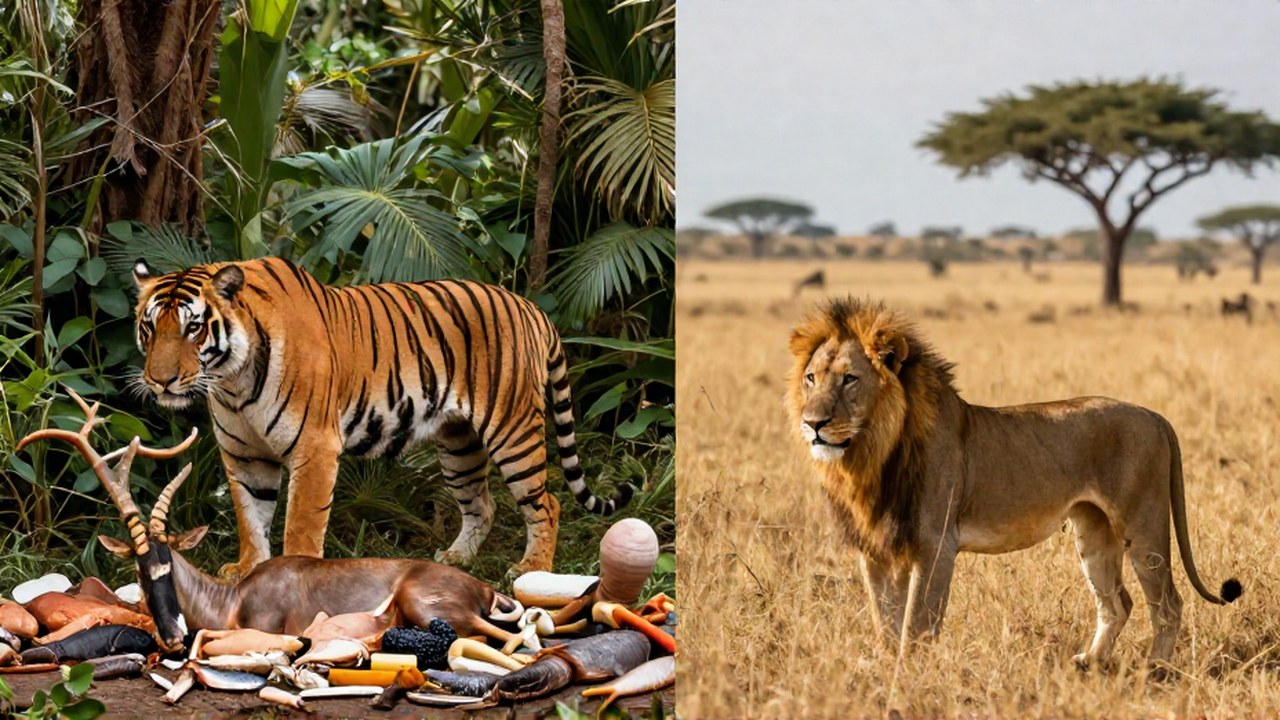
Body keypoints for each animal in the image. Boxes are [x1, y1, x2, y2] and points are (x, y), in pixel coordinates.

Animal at [130, 256, 632, 577]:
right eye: (150, 327)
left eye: (194, 328)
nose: (160, 381)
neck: (232, 380)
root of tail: (531, 307)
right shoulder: (245, 456)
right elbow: (251, 520)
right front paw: (248, 569)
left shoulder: (315, 447)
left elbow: (301, 524)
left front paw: (292, 571)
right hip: (459, 444)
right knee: (482, 505)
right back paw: (456, 559)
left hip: (513, 431)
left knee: (547, 503)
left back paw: (532, 569)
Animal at [787, 297, 1240, 669]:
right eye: (811, 378)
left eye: (849, 379)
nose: (813, 424)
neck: (872, 456)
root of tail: (1154, 416)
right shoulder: (876, 548)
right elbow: (886, 622)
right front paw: (885, 670)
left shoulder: (935, 544)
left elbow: (916, 625)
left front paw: (908, 676)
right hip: (1093, 530)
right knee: (1118, 602)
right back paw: (1090, 661)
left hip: (1143, 524)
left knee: (1167, 602)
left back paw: (1156, 671)